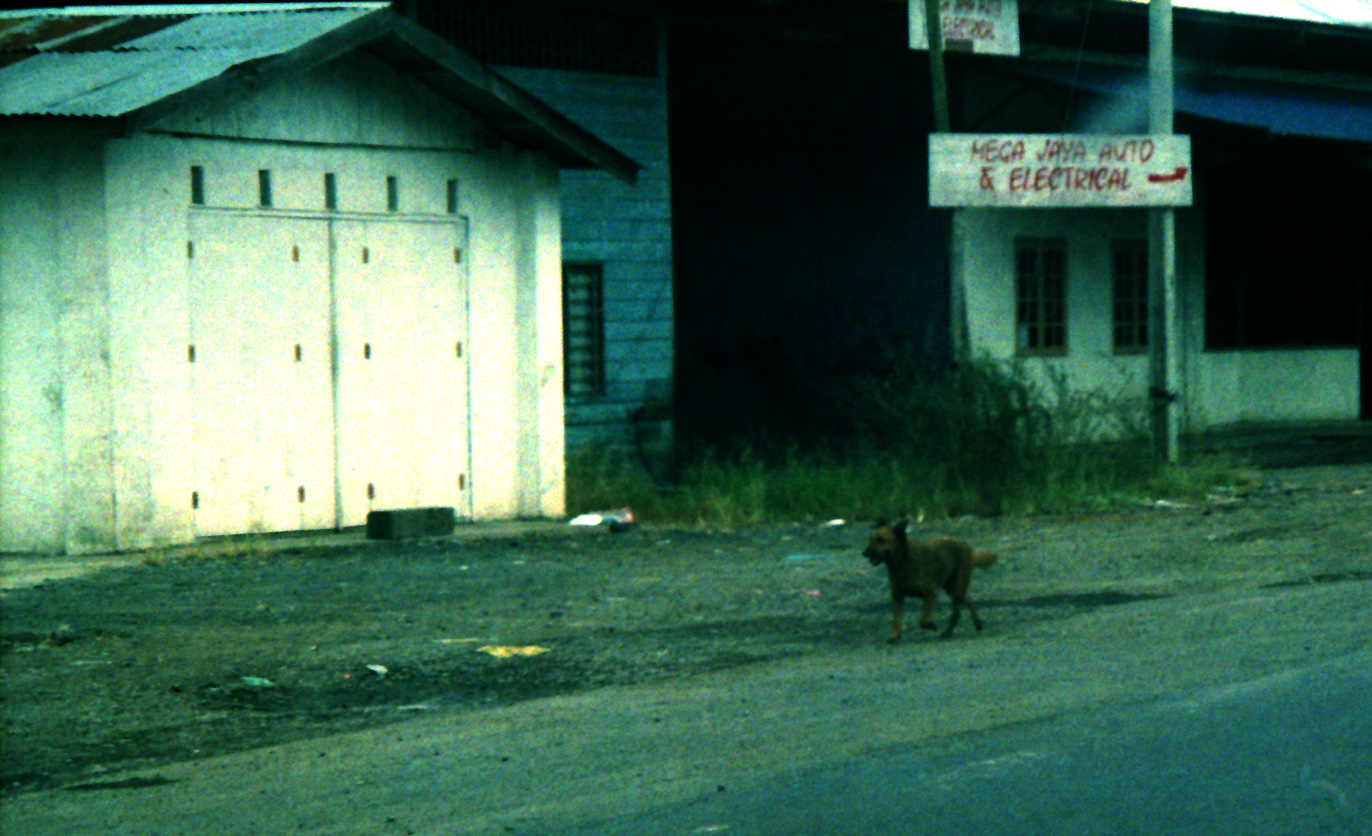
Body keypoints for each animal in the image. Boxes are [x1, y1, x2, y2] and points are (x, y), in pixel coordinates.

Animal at [861, 518, 997, 643]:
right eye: (871, 539)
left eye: (881, 540)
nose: (864, 553)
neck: (902, 562)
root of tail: (966, 545)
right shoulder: (897, 597)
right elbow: (896, 620)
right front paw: (895, 636)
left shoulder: (930, 594)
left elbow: (923, 620)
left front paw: (931, 626)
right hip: (952, 587)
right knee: (968, 600)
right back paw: (977, 621)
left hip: (957, 587)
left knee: (956, 613)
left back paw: (947, 632)